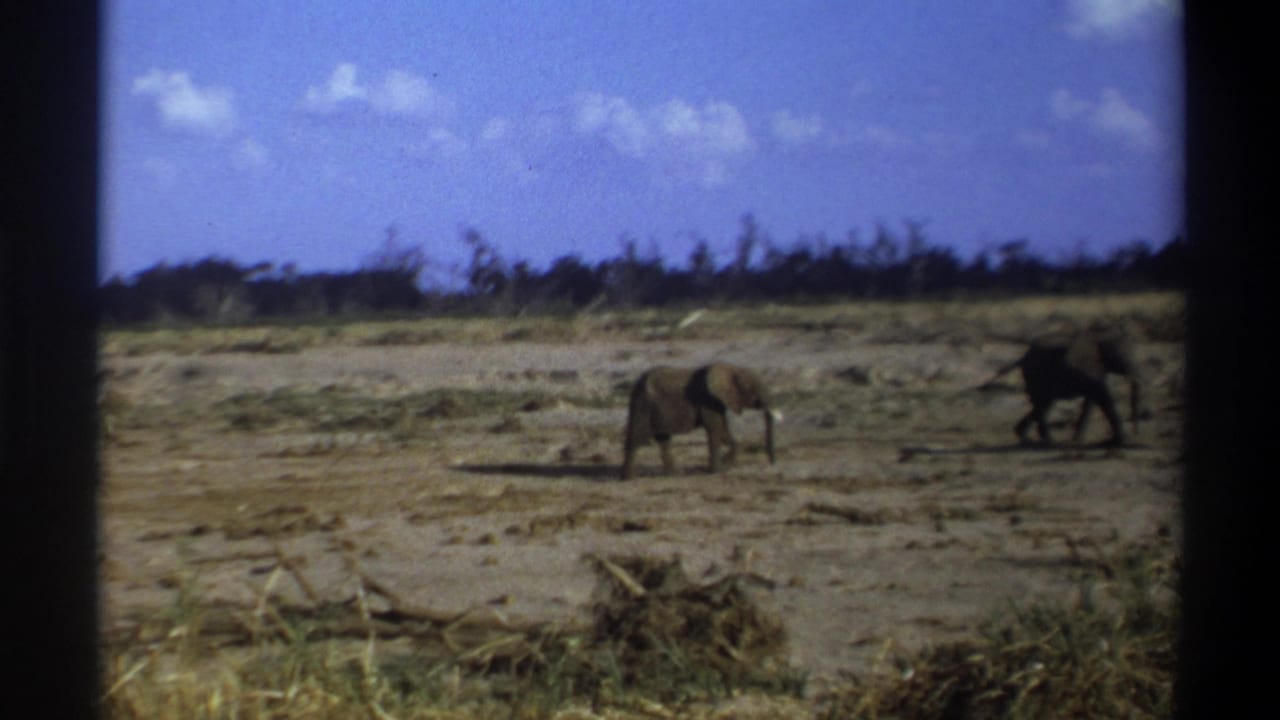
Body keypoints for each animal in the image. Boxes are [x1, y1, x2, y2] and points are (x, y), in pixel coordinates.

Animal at [620, 362, 779, 479]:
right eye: (752, 388)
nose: (772, 463)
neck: (731, 368)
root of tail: (635, 384)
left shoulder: (718, 402)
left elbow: (723, 430)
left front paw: (725, 465)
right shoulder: (707, 400)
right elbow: (715, 429)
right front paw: (715, 471)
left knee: (663, 439)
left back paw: (673, 475)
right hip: (643, 404)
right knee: (636, 438)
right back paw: (629, 478)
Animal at [982, 328, 1142, 446]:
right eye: (1119, 355)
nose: (1136, 433)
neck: (1097, 337)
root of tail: (1023, 356)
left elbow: (1091, 401)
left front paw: (1077, 440)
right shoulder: (1088, 367)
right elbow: (1103, 396)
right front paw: (1120, 440)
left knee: (1042, 404)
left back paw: (1024, 437)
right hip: (1036, 375)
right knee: (1042, 405)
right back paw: (1049, 442)